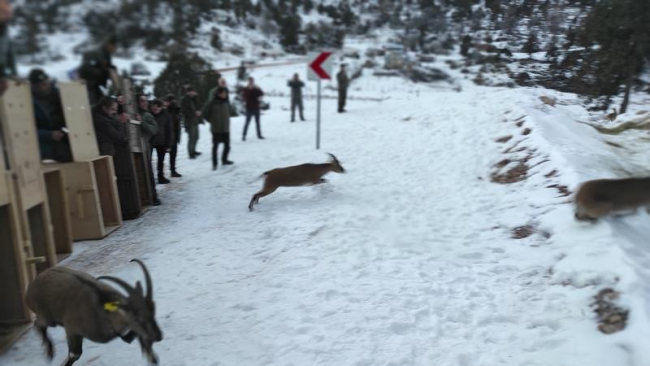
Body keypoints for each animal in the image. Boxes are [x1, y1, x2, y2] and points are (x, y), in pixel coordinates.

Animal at [27, 258, 165, 364]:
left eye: (153, 310)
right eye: (136, 316)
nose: (158, 336)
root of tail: (30, 289)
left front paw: (151, 355)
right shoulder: (72, 329)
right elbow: (74, 355)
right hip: (47, 317)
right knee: (38, 324)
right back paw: (49, 353)